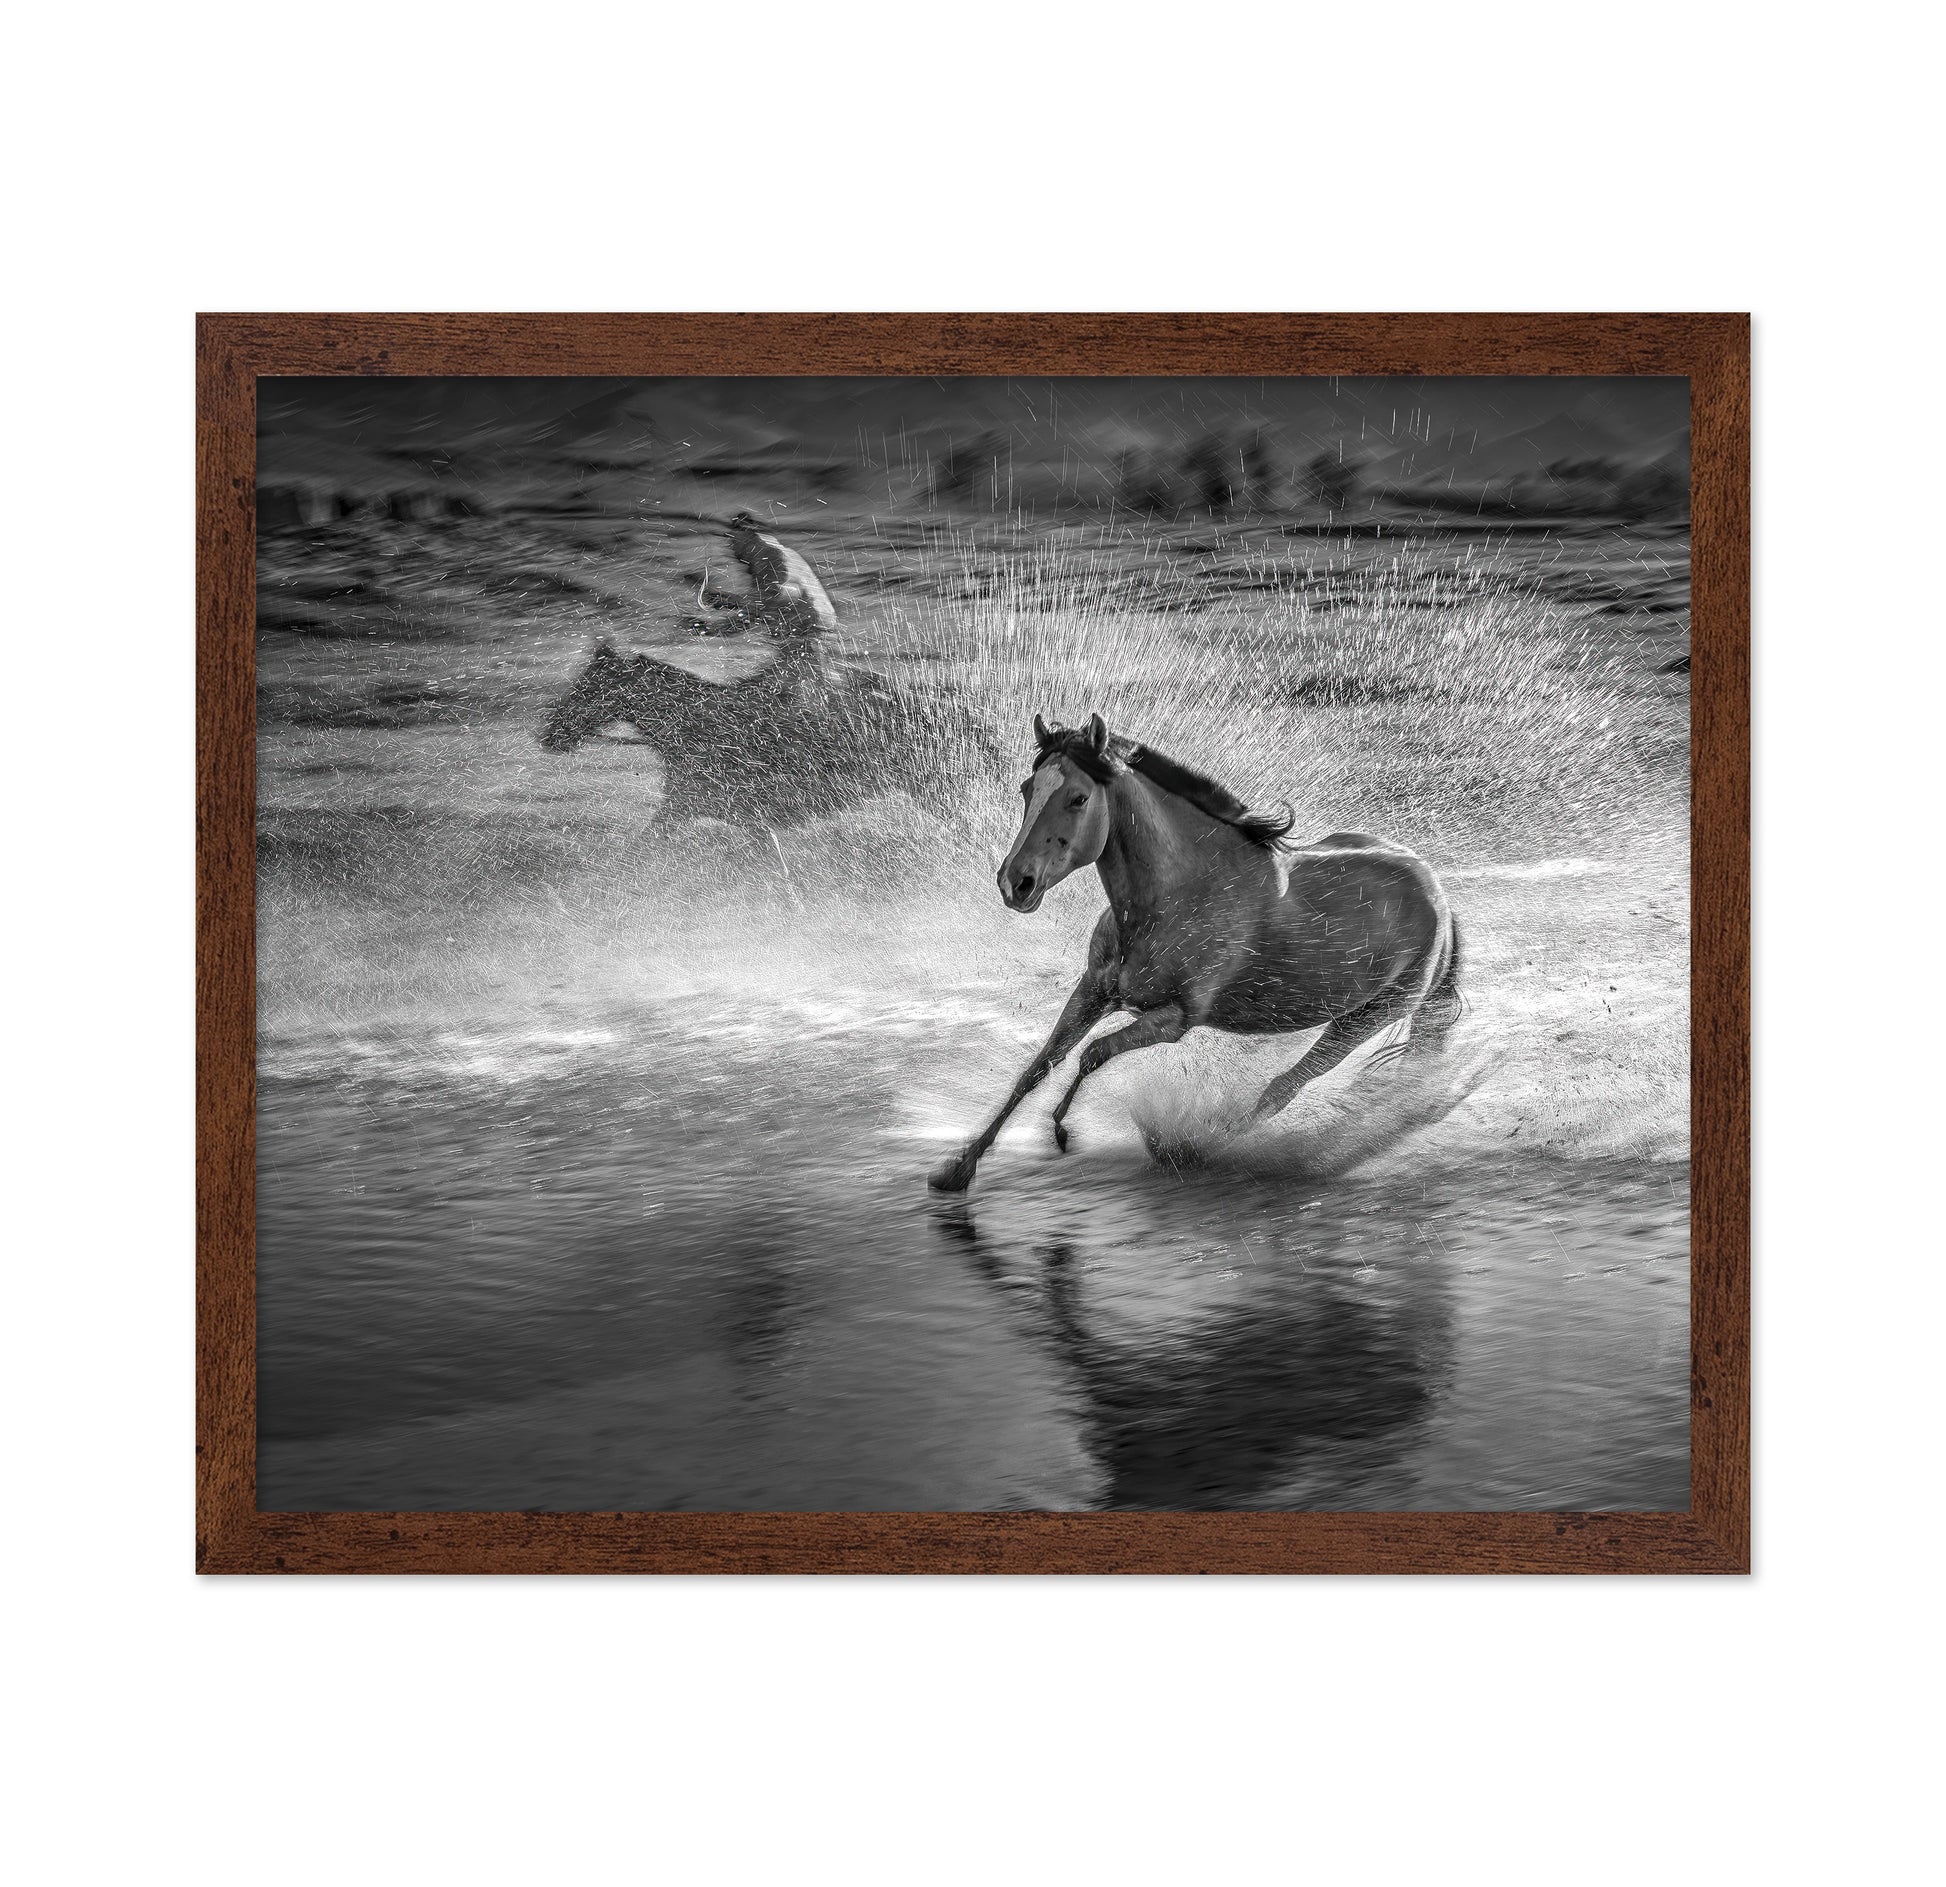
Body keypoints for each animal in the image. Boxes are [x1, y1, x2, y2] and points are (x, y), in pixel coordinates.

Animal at [928, 713, 1463, 1193]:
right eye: (1027, 790)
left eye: (1078, 797)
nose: (1015, 883)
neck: (1179, 895)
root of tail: (1436, 893)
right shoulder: (1093, 991)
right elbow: (1038, 1067)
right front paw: (959, 1170)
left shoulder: (1175, 1019)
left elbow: (1092, 1055)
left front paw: (1060, 1131)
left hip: (1363, 1020)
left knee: (1282, 1089)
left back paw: (1196, 1149)